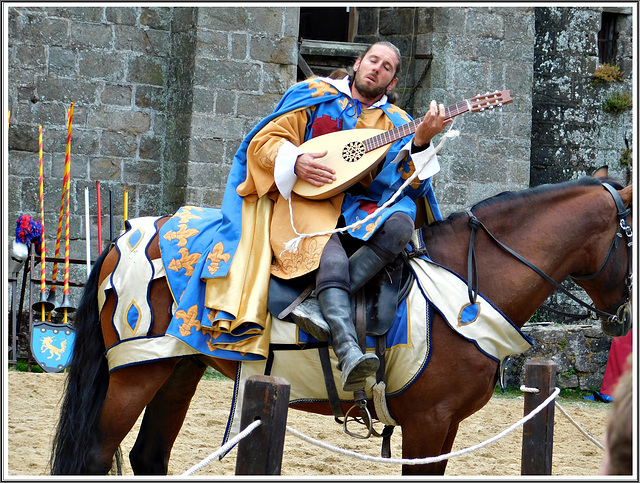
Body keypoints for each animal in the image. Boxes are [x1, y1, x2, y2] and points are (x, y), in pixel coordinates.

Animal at [48, 175, 632, 476]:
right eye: (631, 236)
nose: (623, 316)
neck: (470, 284)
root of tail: (132, 233)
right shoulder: (428, 424)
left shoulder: (445, 429)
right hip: (136, 373)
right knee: (96, 453)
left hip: (176, 367)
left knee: (148, 454)